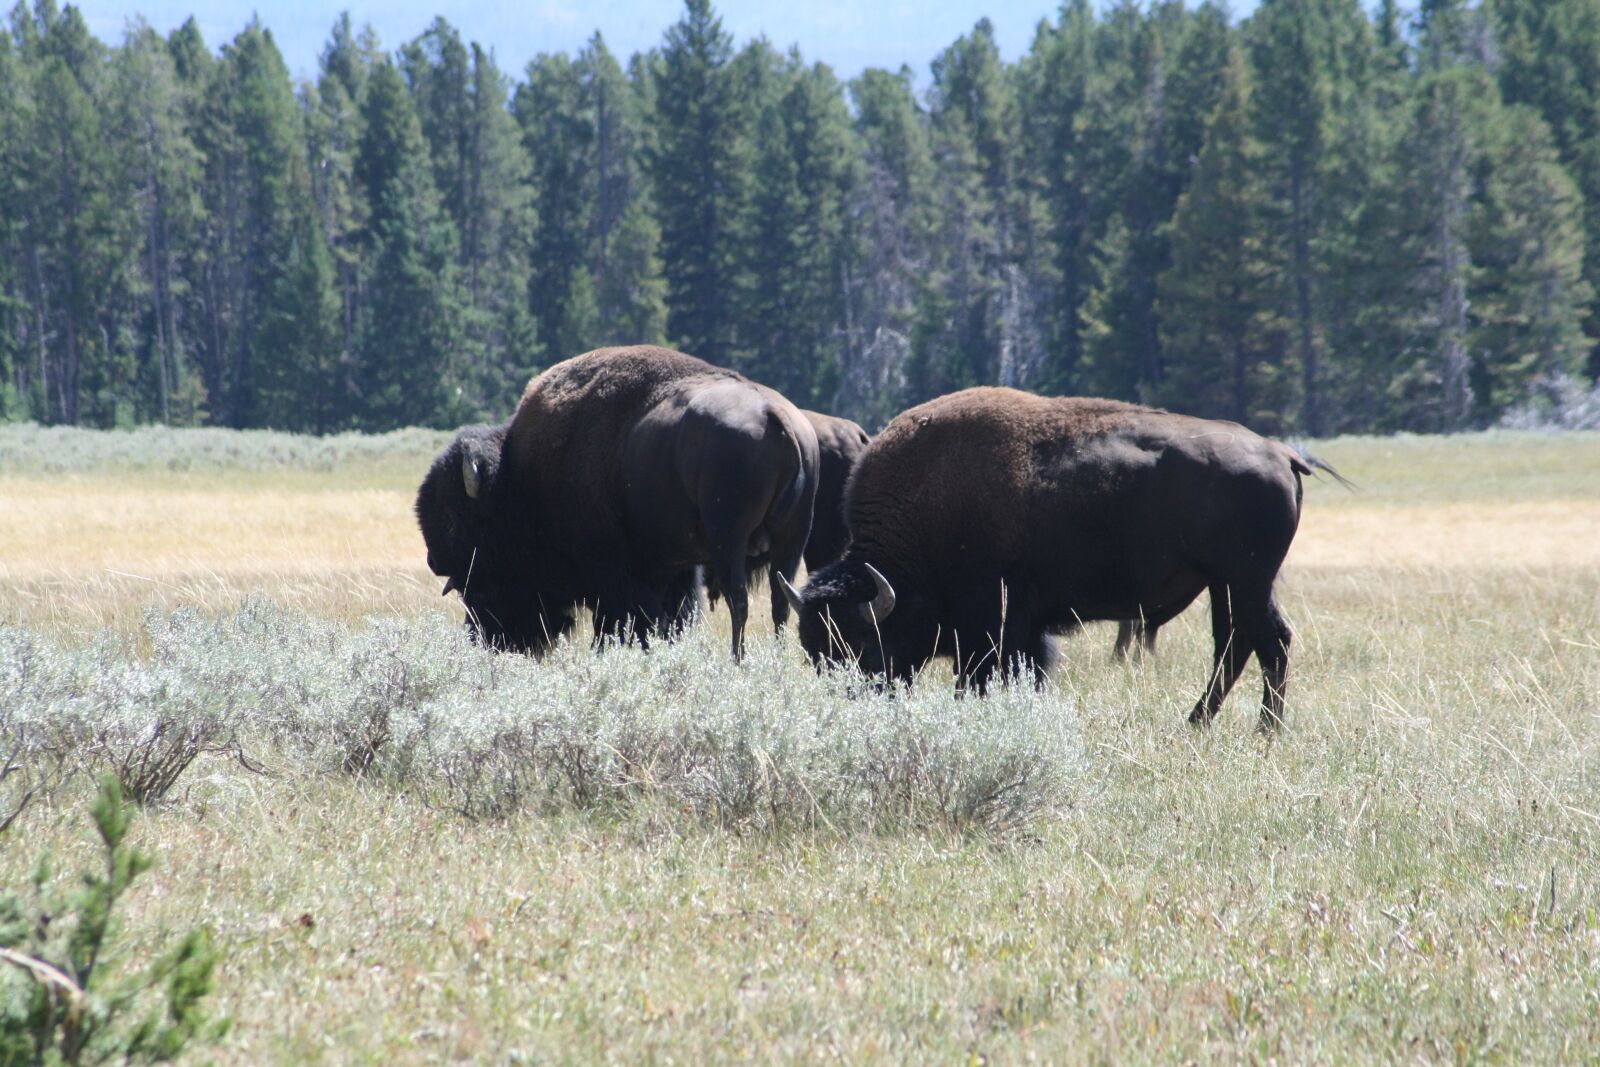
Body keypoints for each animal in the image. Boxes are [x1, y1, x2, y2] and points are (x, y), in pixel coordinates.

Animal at [416, 346, 819, 659]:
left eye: (455, 515)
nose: (434, 560)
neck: (522, 477)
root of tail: (775, 415)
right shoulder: (672, 568)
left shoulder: (613, 572)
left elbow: (624, 618)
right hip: (792, 540)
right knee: (780, 602)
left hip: (729, 538)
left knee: (740, 600)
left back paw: (737, 660)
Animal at [779, 387, 1332, 729]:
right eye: (814, 656)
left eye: (865, 649)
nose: (853, 709)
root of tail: (1280, 453)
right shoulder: (1017, 630)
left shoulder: (992, 628)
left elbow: (981, 679)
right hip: (1229, 583)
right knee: (1238, 644)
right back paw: (1201, 724)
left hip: (1245, 580)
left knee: (1266, 642)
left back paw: (1263, 730)